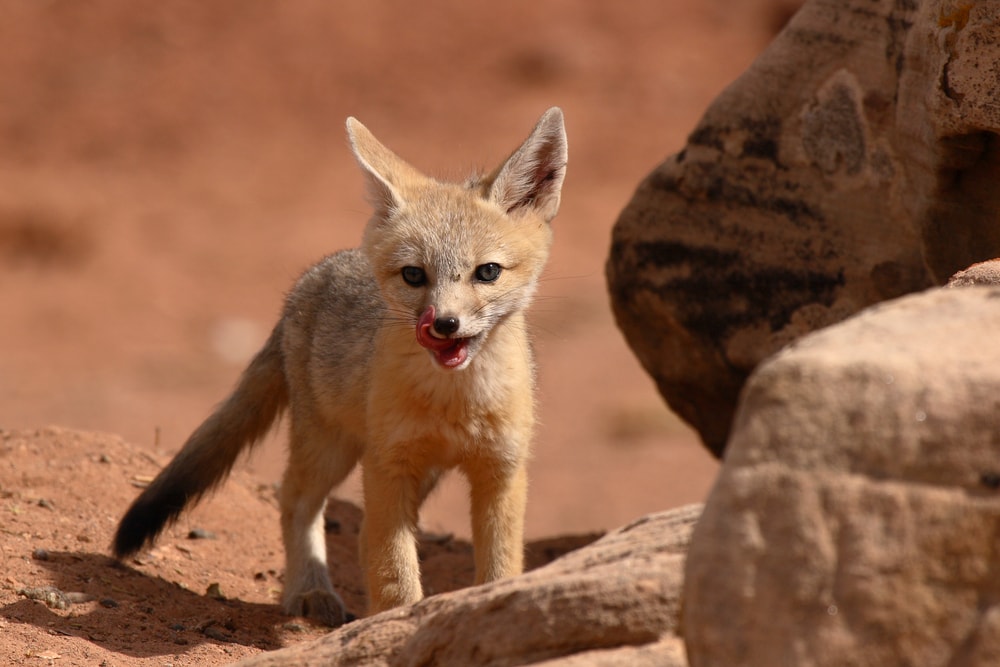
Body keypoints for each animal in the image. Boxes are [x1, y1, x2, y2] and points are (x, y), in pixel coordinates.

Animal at [112, 107, 568, 627]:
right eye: (415, 275)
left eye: (487, 272)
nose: (444, 324)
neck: (455, 402)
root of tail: (311, 278)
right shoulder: (388, 465)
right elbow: (394, 571)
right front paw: (395, 623)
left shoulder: (501, 471)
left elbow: (500, 565)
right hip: (331, 448)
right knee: (296, 499)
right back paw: (310, 588)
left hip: (408, 472)